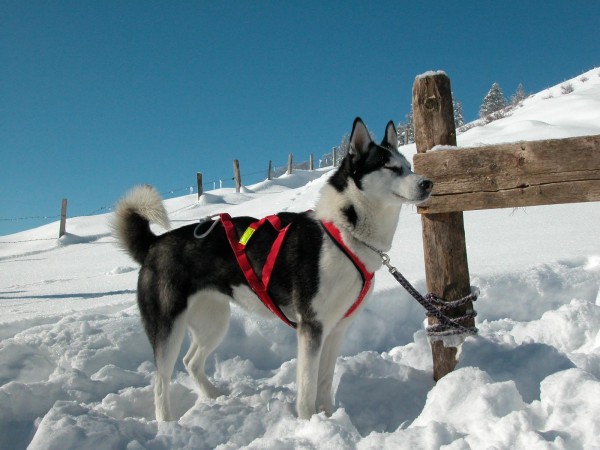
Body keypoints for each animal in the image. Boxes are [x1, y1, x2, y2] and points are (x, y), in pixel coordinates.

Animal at [112, 118, 432, 422]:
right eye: (391, 167)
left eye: (407, 166)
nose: (428, 183)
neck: (344, 231)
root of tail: (154, 243)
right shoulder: (311, 327)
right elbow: (307, 388)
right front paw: (308, 423)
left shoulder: (336, 329)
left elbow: (325, 383)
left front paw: (329, 417)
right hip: (169, 327)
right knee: (160, 380)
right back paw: (167, 423)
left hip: (214, 322)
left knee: (191, 362)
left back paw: (213, 396)